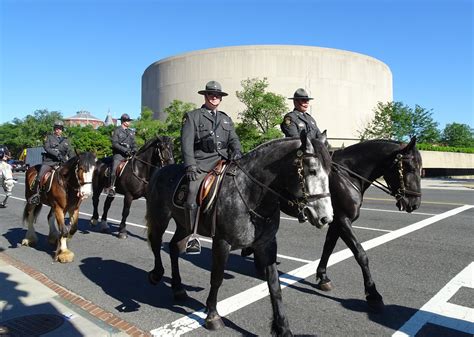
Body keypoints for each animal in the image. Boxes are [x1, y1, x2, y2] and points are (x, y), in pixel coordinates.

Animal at [146, 132, 332, 336]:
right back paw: (156, 274)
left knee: (173, 247)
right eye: (312, 170)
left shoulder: (267, 244)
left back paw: (178, 289)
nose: (326, 217)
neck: (250, 193)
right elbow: (217, 278)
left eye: (330, 172)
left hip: (184, 225)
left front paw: (283, 327)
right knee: (156, 243)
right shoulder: (222, 242)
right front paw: (212, 315)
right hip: (160, 217)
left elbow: (275, 285)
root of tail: (161, 170)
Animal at [314, 136, 422, 310]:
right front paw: (373, 293)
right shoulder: (343, 220)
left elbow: (328, 248)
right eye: (410, 167)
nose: (414, 204)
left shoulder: (336, 222)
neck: (347, 175)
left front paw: (323, 277)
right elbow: (361, 254)